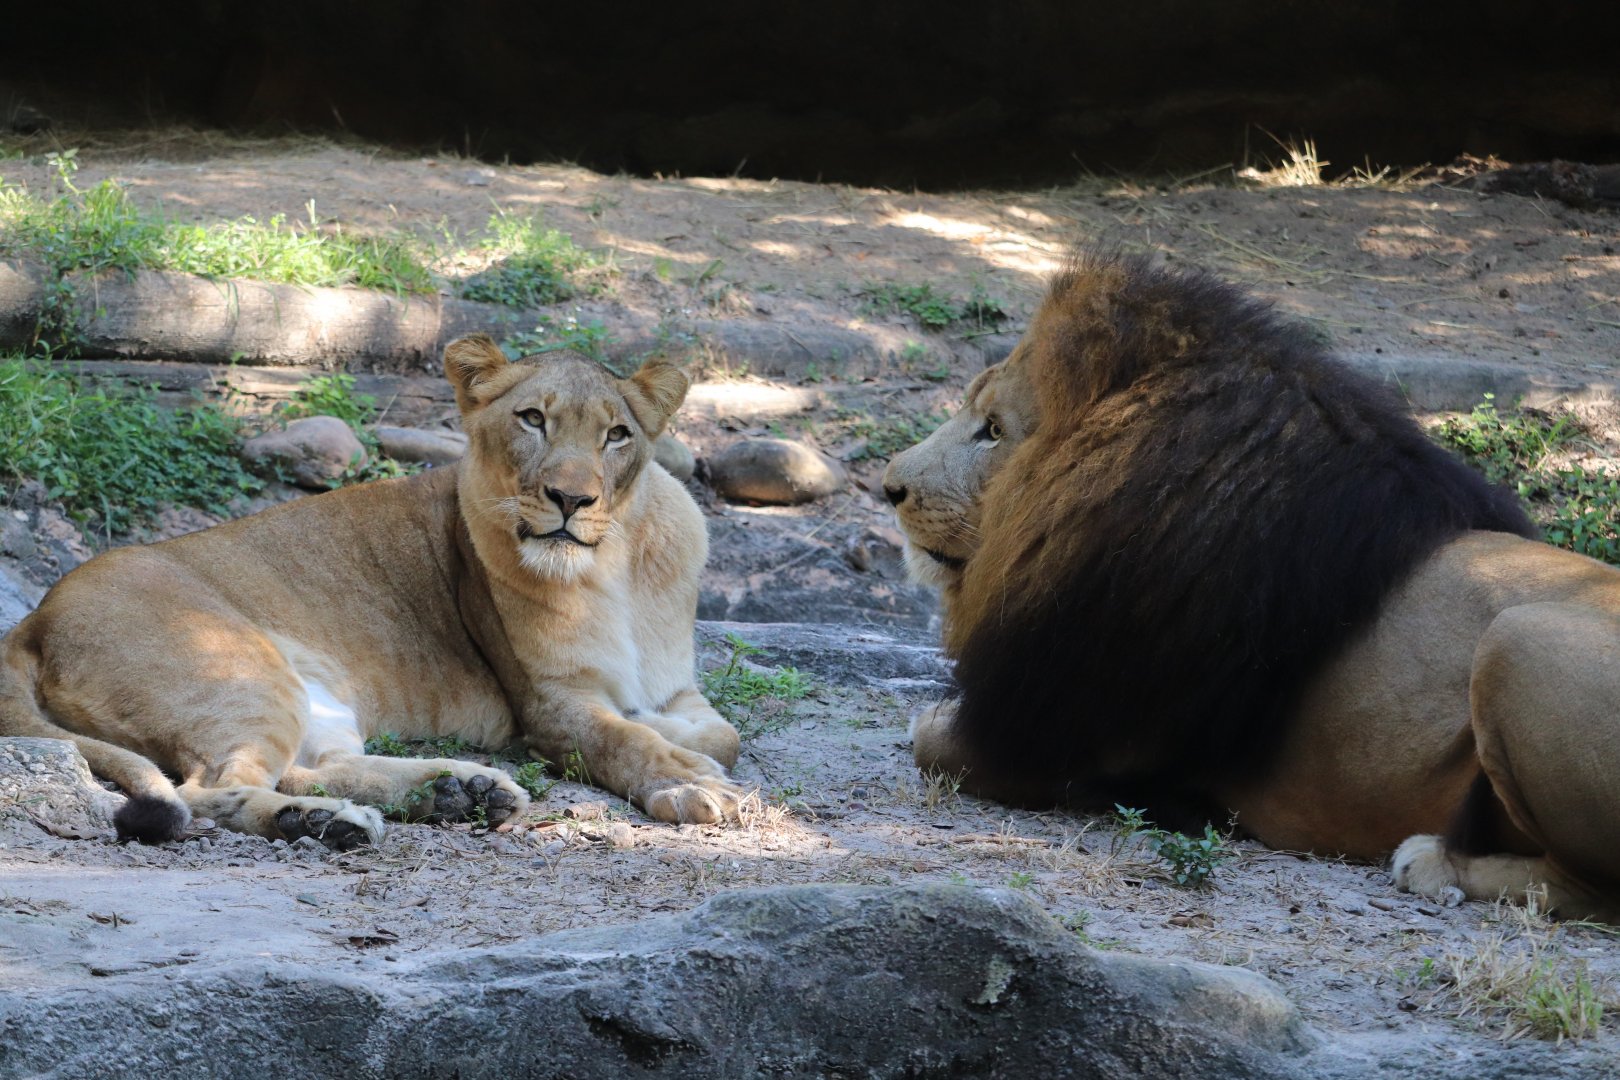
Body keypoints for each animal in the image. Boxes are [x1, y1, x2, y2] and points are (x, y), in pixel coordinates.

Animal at [0, 334, 743, 849]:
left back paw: (457, 792)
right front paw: (689, 782)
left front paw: (689, 751)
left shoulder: (675, 685)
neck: (609, 568)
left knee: (308, 766)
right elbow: (623, 741)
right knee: (214, 789)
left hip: (313, 699)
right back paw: (328, 823)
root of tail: (34, 618)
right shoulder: (548, 705)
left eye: (617, 435)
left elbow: (721, 733)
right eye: (532, 419)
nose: (570, 498)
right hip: (240, 670)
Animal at [883, 253, 1620, 921]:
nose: (889, 486)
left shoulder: (1050, 731)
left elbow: (930, 742)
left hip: (1517, 637)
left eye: (993, 429)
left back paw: (1431, 862)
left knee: (1590, 888)